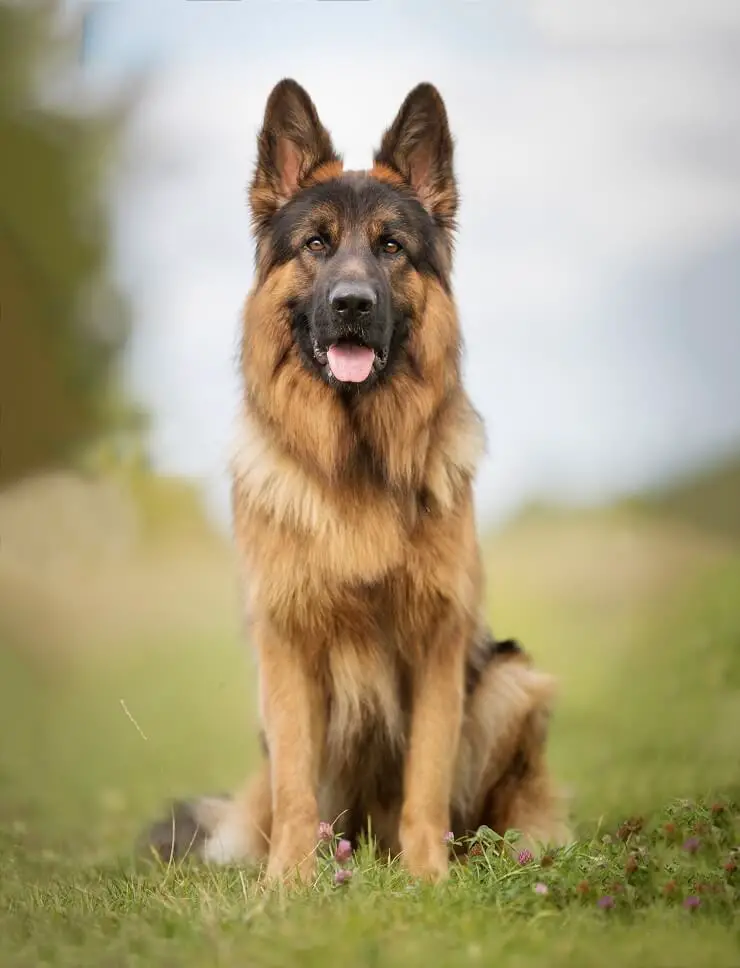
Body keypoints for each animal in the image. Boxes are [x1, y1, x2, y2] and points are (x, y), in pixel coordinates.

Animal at [146, 81, 572, 884]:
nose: (351, 304)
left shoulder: (437, 645)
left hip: (510, 679)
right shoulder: (287, 648)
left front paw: (430, 880)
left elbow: (427, 780)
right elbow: (294, 789)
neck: (357, 462)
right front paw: (287, 886)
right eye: (316, 244)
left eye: (391, 247)